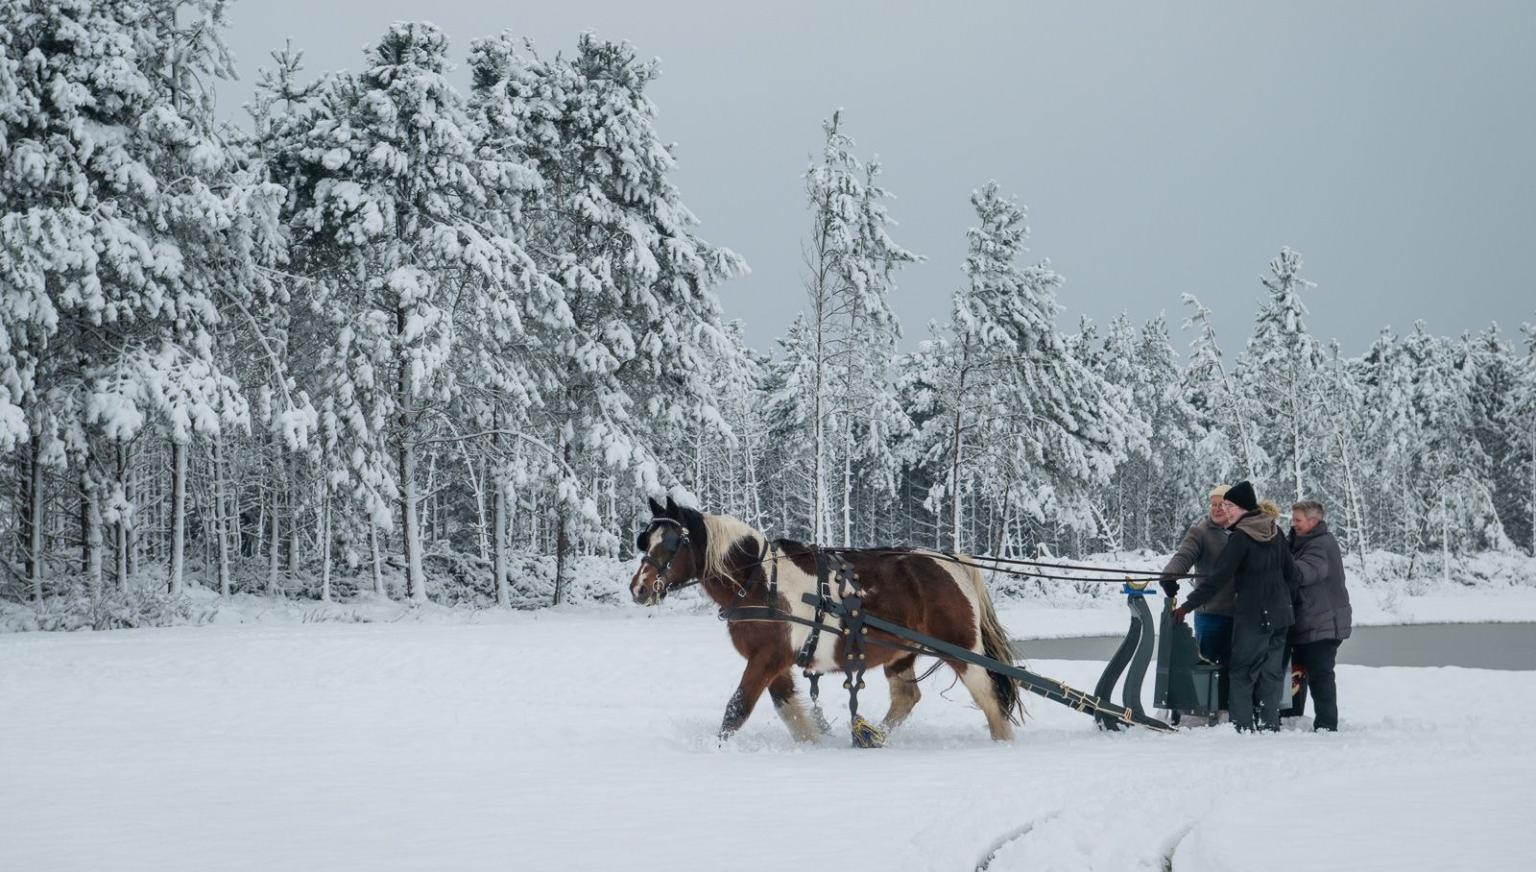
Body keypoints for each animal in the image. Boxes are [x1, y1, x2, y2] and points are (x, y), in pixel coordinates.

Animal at [629, 497, 1026, 743]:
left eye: (670, 543)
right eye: (645, 541)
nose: (638, 588)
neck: (758, 579)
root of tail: (951, 561)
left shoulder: (767, 658)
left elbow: (737, 708)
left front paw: (717, 750)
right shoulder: (775, 662)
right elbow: (789, 710)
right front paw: (815, 743)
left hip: (961, 649)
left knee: (989, 699)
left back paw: (1002, 745)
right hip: (901, 652)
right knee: (906, 697)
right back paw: (873, 736)